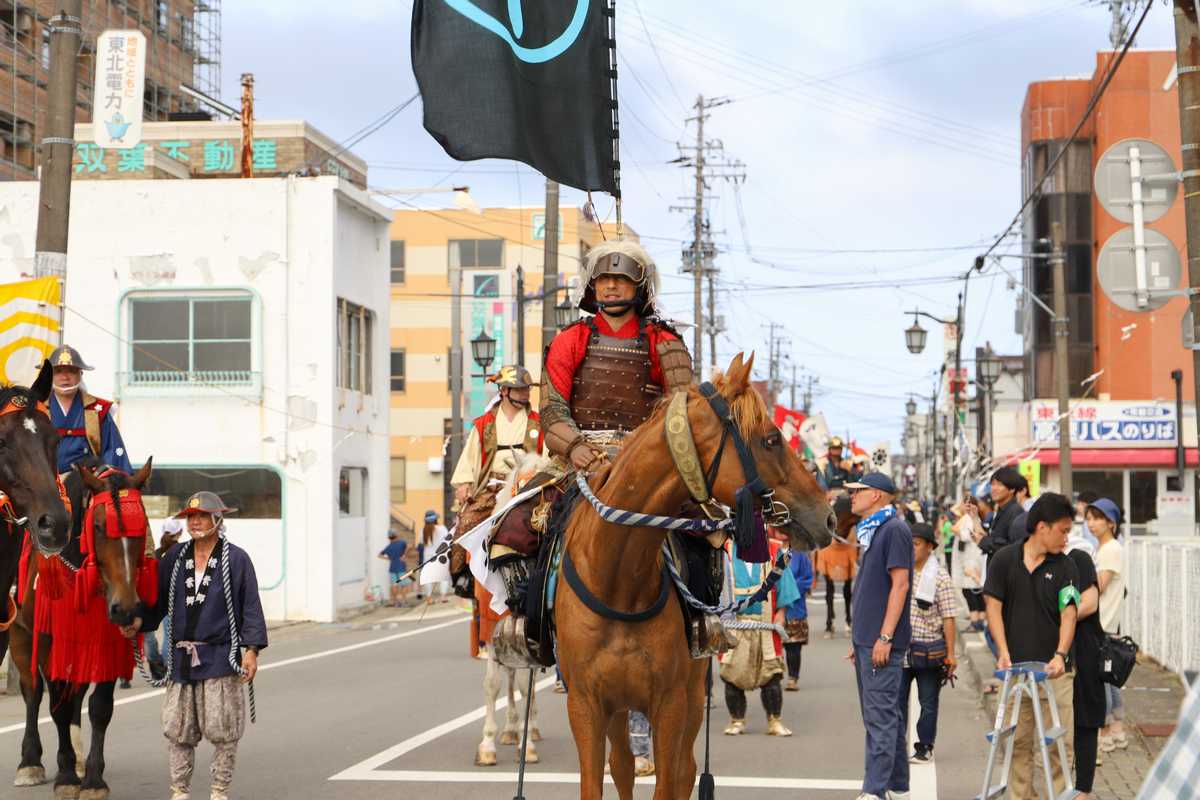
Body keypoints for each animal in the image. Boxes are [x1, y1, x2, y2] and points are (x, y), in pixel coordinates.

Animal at [10, 460, 153, 796]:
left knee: (75, 695)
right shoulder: (48, 641)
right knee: (33, 691)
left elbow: (99, 707)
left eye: (141, 526)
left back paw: (75, 760)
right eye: (98, 526)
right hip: (19, 633)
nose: (126, 608)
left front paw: (92, 779)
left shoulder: (107, 639)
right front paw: (64, 776)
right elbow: (56, 705)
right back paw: (31, 761)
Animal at [552, 355, 835, 800]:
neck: (617, 580)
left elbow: (672, 779)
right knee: (624, 765)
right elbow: (597, 781)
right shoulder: (586, 703)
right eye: (771, 439)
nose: (827, 516)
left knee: (684, 770)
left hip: (691, 688)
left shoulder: (670, 701)